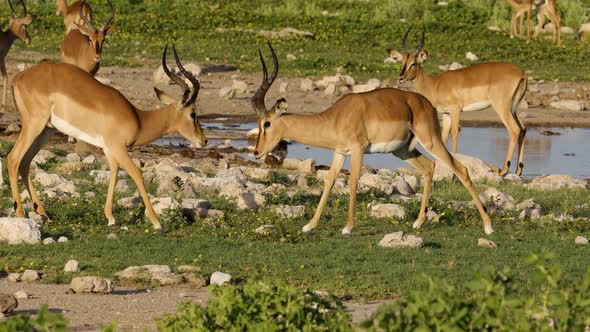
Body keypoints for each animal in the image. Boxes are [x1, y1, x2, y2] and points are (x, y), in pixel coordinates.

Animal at [7, 45, 208, 231]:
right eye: (193, 114)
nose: (204, 140)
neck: (139, 119)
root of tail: (18, 77)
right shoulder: (118, 146)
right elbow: (137, 173)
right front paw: (156, 222)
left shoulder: (109, 149)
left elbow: (114, 172)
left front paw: (110, 218)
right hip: (34, 125)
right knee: (13, 159)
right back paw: (21, 213)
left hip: (46, 130)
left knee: (25, 163)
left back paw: (43, 213)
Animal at [250, 42, 494, 236]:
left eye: (266, 123)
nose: (256, 152)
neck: (334, 118)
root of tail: (425, 103)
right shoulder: (339, 152)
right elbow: (329, 181)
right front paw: (310, 225)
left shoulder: (357, 149)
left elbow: (352, 181)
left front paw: (348, 227)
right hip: (403, 150)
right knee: (429, 167)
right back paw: (418, 222)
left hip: (431, 140)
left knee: (460, 169)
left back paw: (488, 226)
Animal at [390, 27, 528, 178]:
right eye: (402, 62)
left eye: (413, 63)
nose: (401, 78)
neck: (434, 85)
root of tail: (522, 73)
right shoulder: (446, 114)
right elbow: (443, 137)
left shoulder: (455, 109)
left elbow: (454, 133)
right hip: (512, 108)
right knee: (523, 129)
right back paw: (519, 170)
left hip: (501, 107)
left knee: (514, 130)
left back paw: (503, 170)